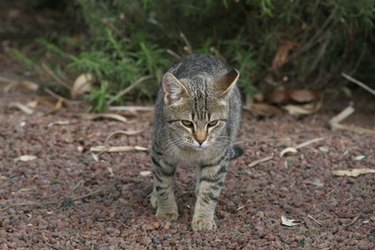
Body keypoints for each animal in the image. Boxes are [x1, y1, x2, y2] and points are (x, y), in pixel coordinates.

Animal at [151, 53, 242, 231]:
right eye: (187, 123)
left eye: (212, 123)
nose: (200, 139)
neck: (190, 152)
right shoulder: (160, 153)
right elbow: (163, 184)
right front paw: (166, 211)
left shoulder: (218, 160)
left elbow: (210, 190)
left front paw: (203, 218)